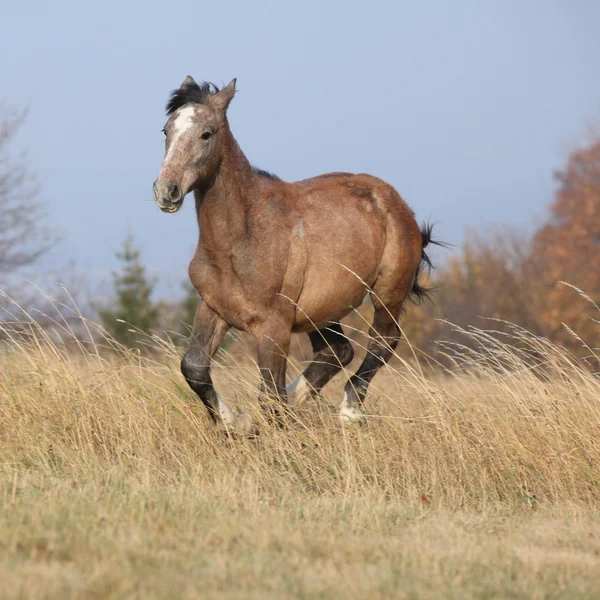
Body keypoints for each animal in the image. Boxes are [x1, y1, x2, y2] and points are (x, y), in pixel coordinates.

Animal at [152, 77, 434, 434]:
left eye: (207, 133)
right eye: (166, 130)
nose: (166, 191)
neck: (241, 241)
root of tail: (397, 203)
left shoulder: (274, 327)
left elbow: (270, 395)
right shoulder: (213, 307)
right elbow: (194, 368)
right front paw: (236, 423)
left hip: (387, 293)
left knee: (383, 341)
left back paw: (348, 411)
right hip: (323, 309)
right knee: (336, 352)